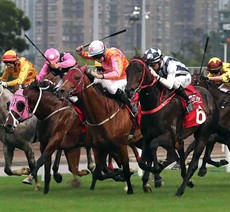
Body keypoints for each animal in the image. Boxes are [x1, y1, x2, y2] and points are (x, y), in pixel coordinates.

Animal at [56, 66, 179, 194]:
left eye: (76, 77)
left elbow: (124, 168)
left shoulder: (121, 145)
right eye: (65, 76)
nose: (60, 90)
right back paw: (150, 181)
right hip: (141, 139)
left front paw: (129, 187)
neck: (104, 111)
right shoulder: (98, 146)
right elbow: (98, 172)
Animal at [124, 55, 219, 196]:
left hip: (203, 133)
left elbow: (156, 148)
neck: (155, 103)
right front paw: (154, 175)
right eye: (126, 70)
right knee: (181, 154)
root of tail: (210, 96)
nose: (128, 91)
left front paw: (157, 177)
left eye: (140, 70)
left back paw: (180, 190)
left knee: (193, 162)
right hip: (181, 138)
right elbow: (142, 162)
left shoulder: (168, 136)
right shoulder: (147, 136)